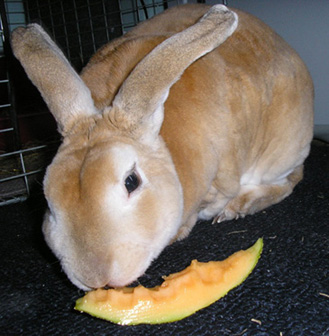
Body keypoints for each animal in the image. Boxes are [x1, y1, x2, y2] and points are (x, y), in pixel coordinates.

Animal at [10, 3, 312, 290]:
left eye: (131, 181)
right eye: (48, 200)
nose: (95, 277)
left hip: (280, 155)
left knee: (290, 181)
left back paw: (238, 207)